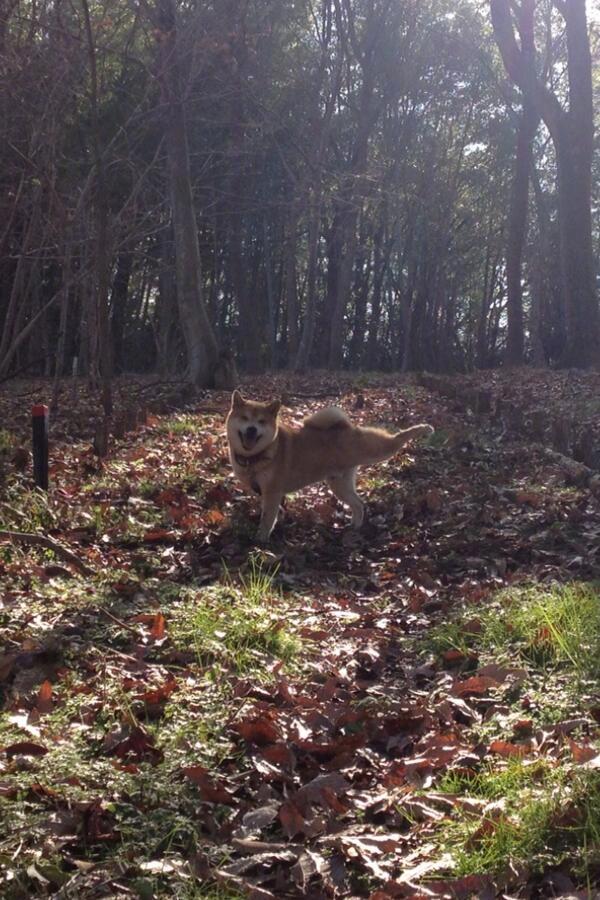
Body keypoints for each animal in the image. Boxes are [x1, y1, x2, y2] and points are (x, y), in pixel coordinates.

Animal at [227, 388, 434, 540]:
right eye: (244, 418)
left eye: (261, 421)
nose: (252, 429)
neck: (256, 457)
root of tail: (346, 426)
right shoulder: (264, 491)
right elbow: (270, 513)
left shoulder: (272, 491)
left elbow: (267, 519)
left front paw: (260, 541)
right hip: (339, 485)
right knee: (359, 504)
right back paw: (355, 527)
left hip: (375, 449)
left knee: (396, 440)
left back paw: (421, 429)